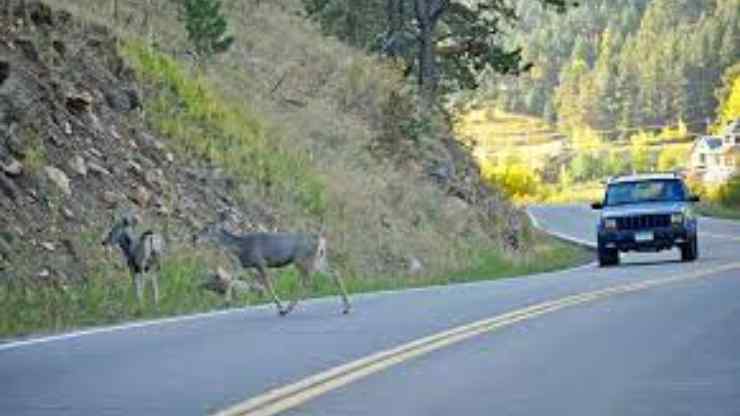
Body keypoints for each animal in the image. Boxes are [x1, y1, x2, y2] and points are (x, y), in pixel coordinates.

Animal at [194, 221, 350, 316]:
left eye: (206, 230)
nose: (195, 237)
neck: (240, 247)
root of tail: (321, 240)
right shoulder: (244, 265)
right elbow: (233, 278)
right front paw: (225, 301)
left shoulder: (260, 262)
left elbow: (267, 285)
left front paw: (279, 306)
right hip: (318, 259)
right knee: (334, 273)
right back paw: (346, 308)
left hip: (302, 259)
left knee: (307, 282)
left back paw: (287, 309)